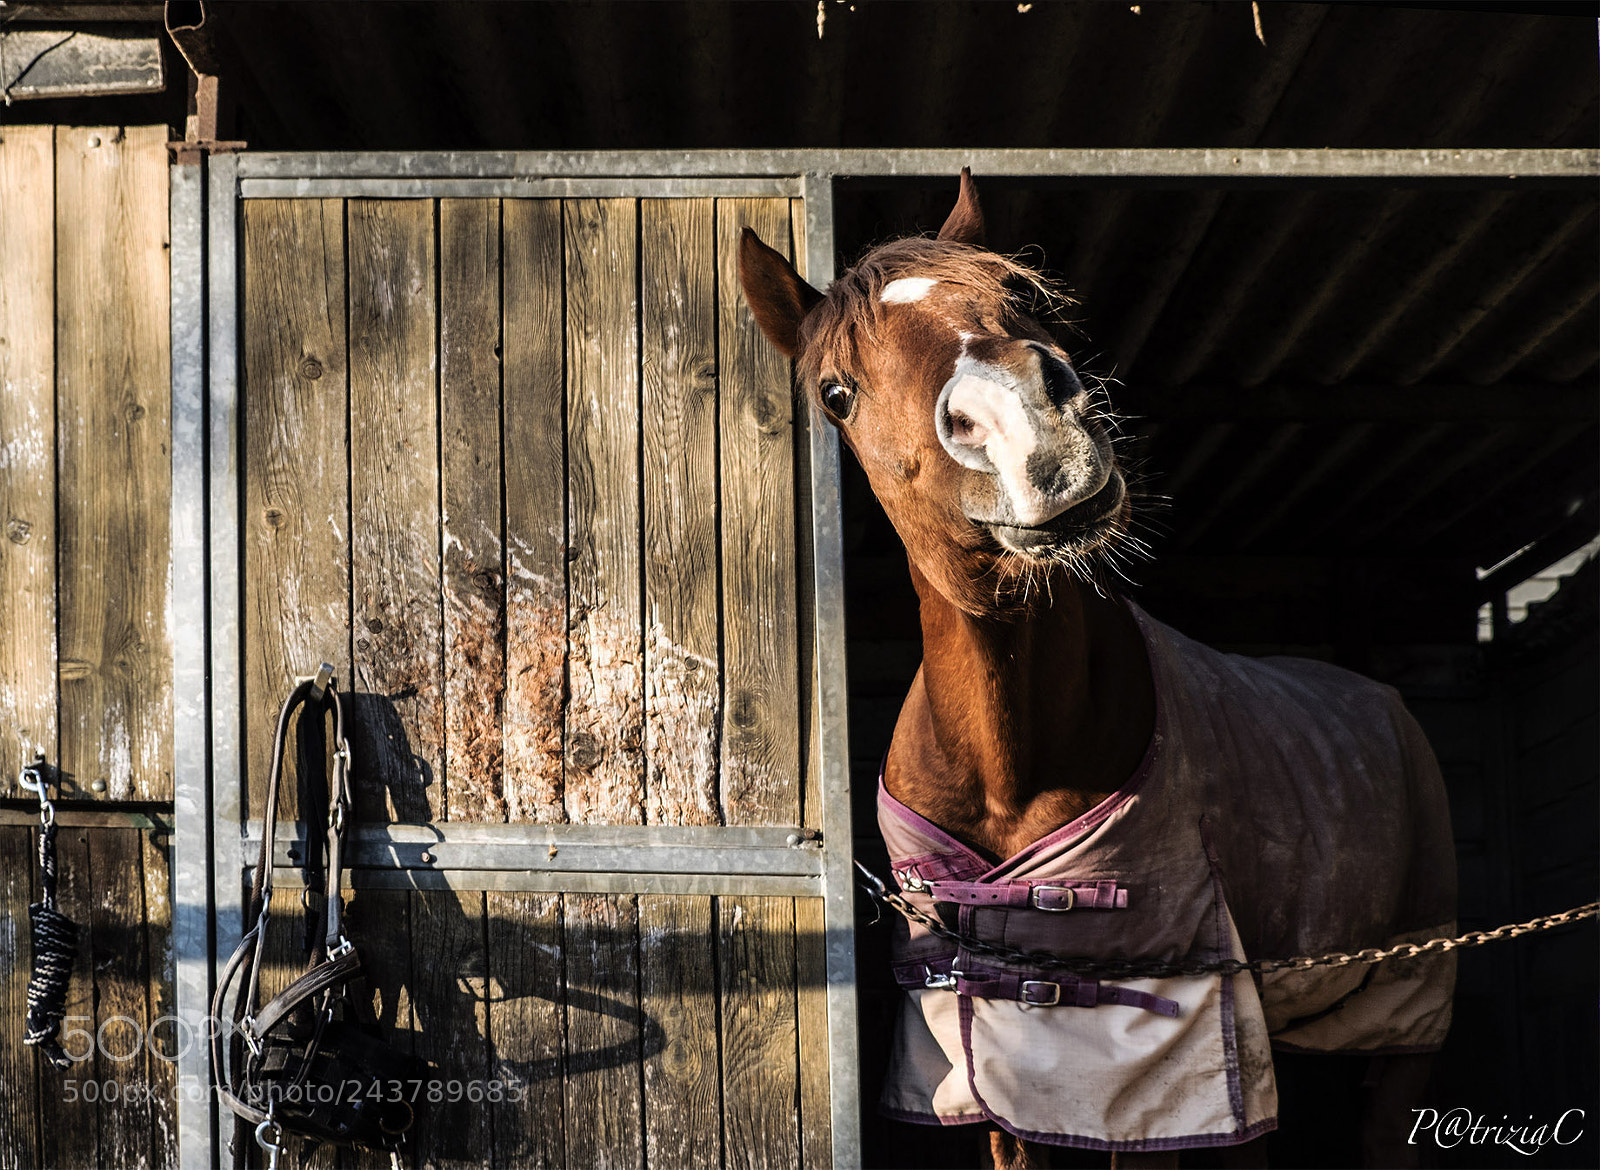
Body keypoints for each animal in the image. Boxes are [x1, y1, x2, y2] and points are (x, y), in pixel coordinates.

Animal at [738, 171, 1457, 1170]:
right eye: (837, 392)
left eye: (1022, 298)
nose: (1026, 423)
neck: (1010, 763)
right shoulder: (1000, 1068)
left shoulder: (1160, 1061)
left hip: (1406, 999)